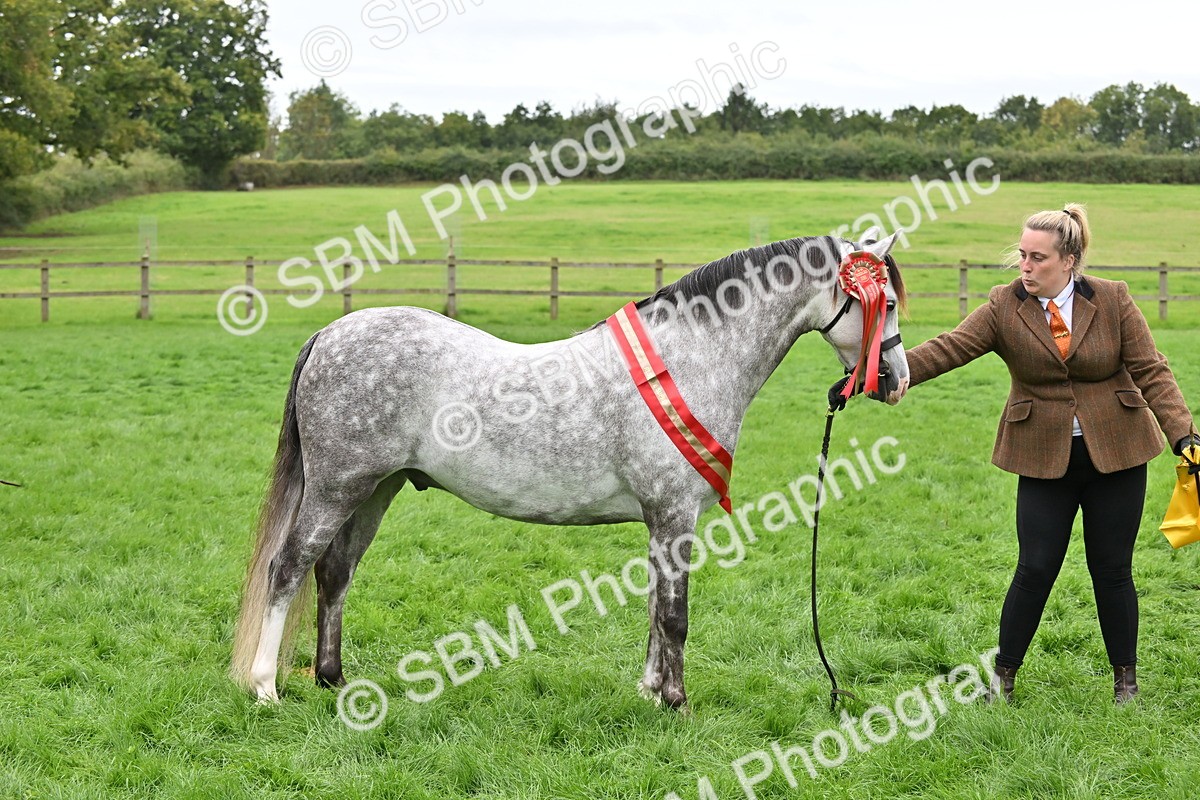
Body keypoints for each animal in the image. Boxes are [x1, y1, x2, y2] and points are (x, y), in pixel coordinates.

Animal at [231, 230, 911, 709]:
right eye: (885, 303)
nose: (895, 379)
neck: (688, 358)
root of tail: (329, 333)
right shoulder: (675, 515)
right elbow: (675, 615)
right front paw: (677, 702)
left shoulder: (660, 522)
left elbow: (654, 608)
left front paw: (649, 692)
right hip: (336, 486)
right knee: (287, 568)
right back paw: (266, 686)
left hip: (374, 490)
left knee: (335, 573)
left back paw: (333, 681)